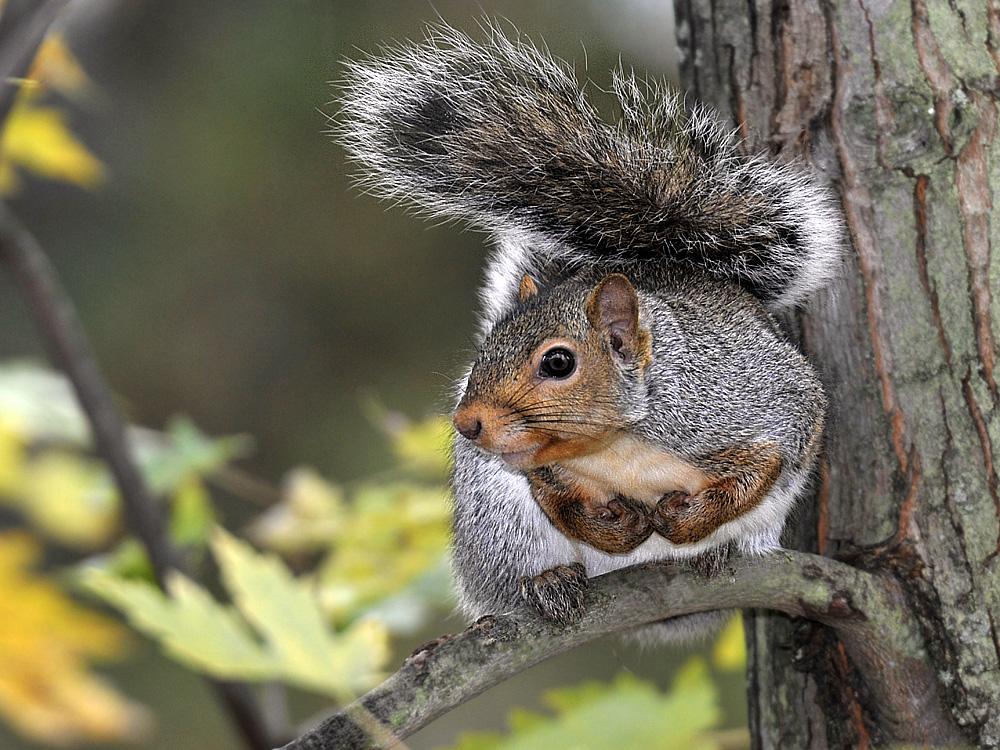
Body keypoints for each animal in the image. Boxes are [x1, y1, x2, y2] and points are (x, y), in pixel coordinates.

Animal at [338, 23, 844, 632]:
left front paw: (692, 521)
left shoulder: (759, 402)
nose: (466, 424)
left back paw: (717, 551)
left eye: (559, 362)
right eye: (485, 350)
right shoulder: (533, 468)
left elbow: (773, 457)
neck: (614, 444)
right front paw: (613, 529)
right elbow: (555, 496)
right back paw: (547, 583)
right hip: (499, 521)